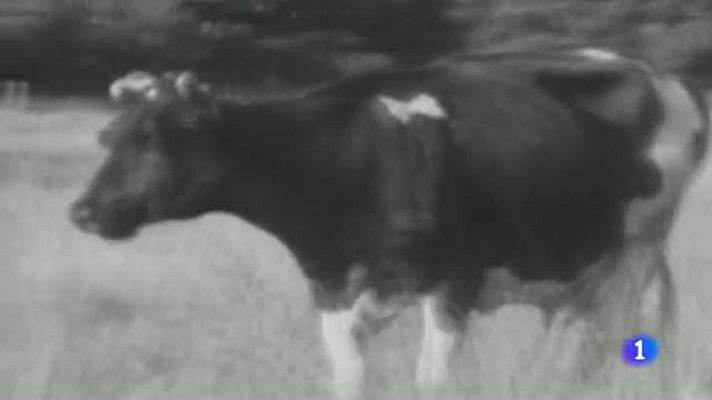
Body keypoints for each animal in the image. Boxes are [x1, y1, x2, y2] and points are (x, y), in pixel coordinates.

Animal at [70, 48, 709, 399]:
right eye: (109, 137)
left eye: (157, 138)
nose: (83, 211)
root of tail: (663, 77)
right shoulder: (331, 288)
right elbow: (350, 380)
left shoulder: (453, 283)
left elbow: (432, 383)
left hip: (635, 253)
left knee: (607, 345)